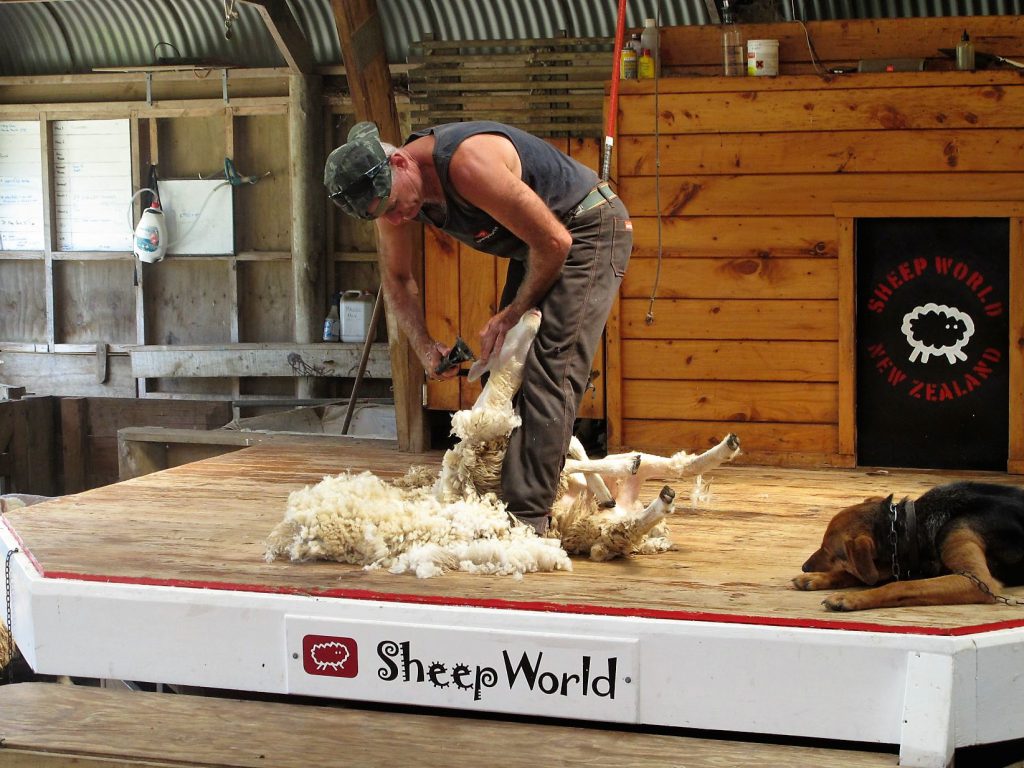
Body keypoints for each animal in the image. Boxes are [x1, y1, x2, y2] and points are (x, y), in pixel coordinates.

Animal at [790, 481, 1024, 614]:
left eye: (829, 551)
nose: (804, 567)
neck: (915, 523)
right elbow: (858, 574)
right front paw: (817, 578)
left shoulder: (978, 580)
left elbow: (899, 586)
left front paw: (850, 598)